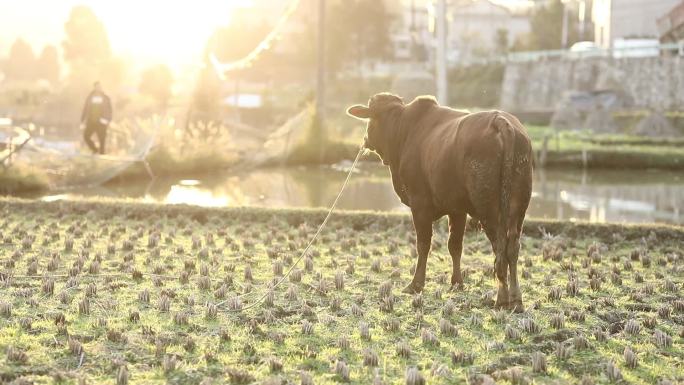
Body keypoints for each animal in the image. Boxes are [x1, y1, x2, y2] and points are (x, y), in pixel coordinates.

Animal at [348, 94, 536, 312]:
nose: (365, 140)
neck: (404, 131)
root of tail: (501, 120)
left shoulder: (420, 204)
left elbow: (423, 244)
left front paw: (416, 284)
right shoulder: (457, 209)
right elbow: (454, 245)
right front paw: (457, 282)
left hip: (488, 210)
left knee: (500, 247)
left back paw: (502, 299)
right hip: (518, 208)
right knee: (512, 247)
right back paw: (516, 300)